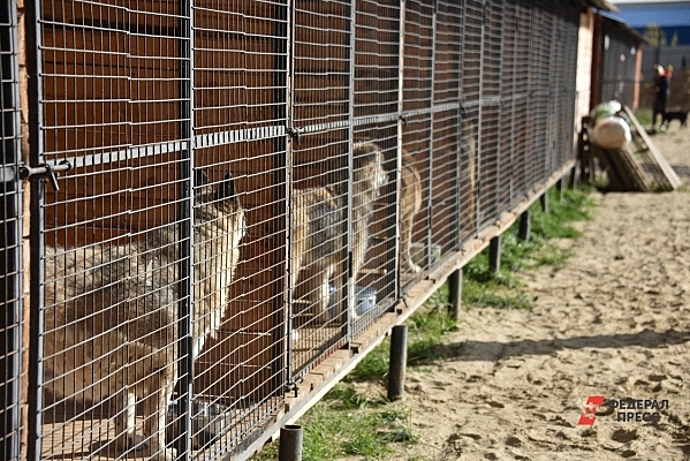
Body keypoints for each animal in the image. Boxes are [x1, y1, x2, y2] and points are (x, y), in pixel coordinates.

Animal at [42, 171, 245, 458]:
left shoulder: (124, 373)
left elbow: (125, 419)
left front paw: (128, 444)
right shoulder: (166, 371)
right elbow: (154, 423)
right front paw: (161, 453)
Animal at [290, 140, 388, 320]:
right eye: (379, 167)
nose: (388, 175)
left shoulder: (323, 264)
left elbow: (320, 294)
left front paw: (323, 318)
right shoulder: (350, 261)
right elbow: (347, 294)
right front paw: (351, 317)